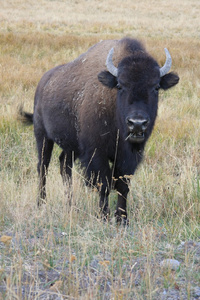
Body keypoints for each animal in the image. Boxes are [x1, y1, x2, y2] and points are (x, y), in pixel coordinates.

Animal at [20, 37, 180, 223]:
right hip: (43, 136)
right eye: (120, 86)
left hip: (71, 146)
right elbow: (104, 184)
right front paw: (104, 216)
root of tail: (43, 82)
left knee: (64, 166)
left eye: (156, 87)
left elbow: (123, 186)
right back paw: (41, 204)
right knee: (43, 168)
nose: (137, 123)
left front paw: (122, 219)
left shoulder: (128, 157)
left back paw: (70, 205)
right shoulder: (97, 153)